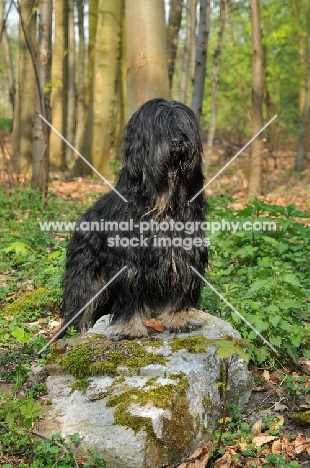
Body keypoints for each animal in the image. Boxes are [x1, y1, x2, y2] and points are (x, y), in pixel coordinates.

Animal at [61, 98, 208, 340]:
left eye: (183, 127)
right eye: (160, 126)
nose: (178, 141)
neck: (162, 204)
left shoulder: (183, 255)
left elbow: (180, 289)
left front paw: (179, 317)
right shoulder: (129, 264)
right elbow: (129, 297)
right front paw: (129, 327)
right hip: (86, 275)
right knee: (82, 303)